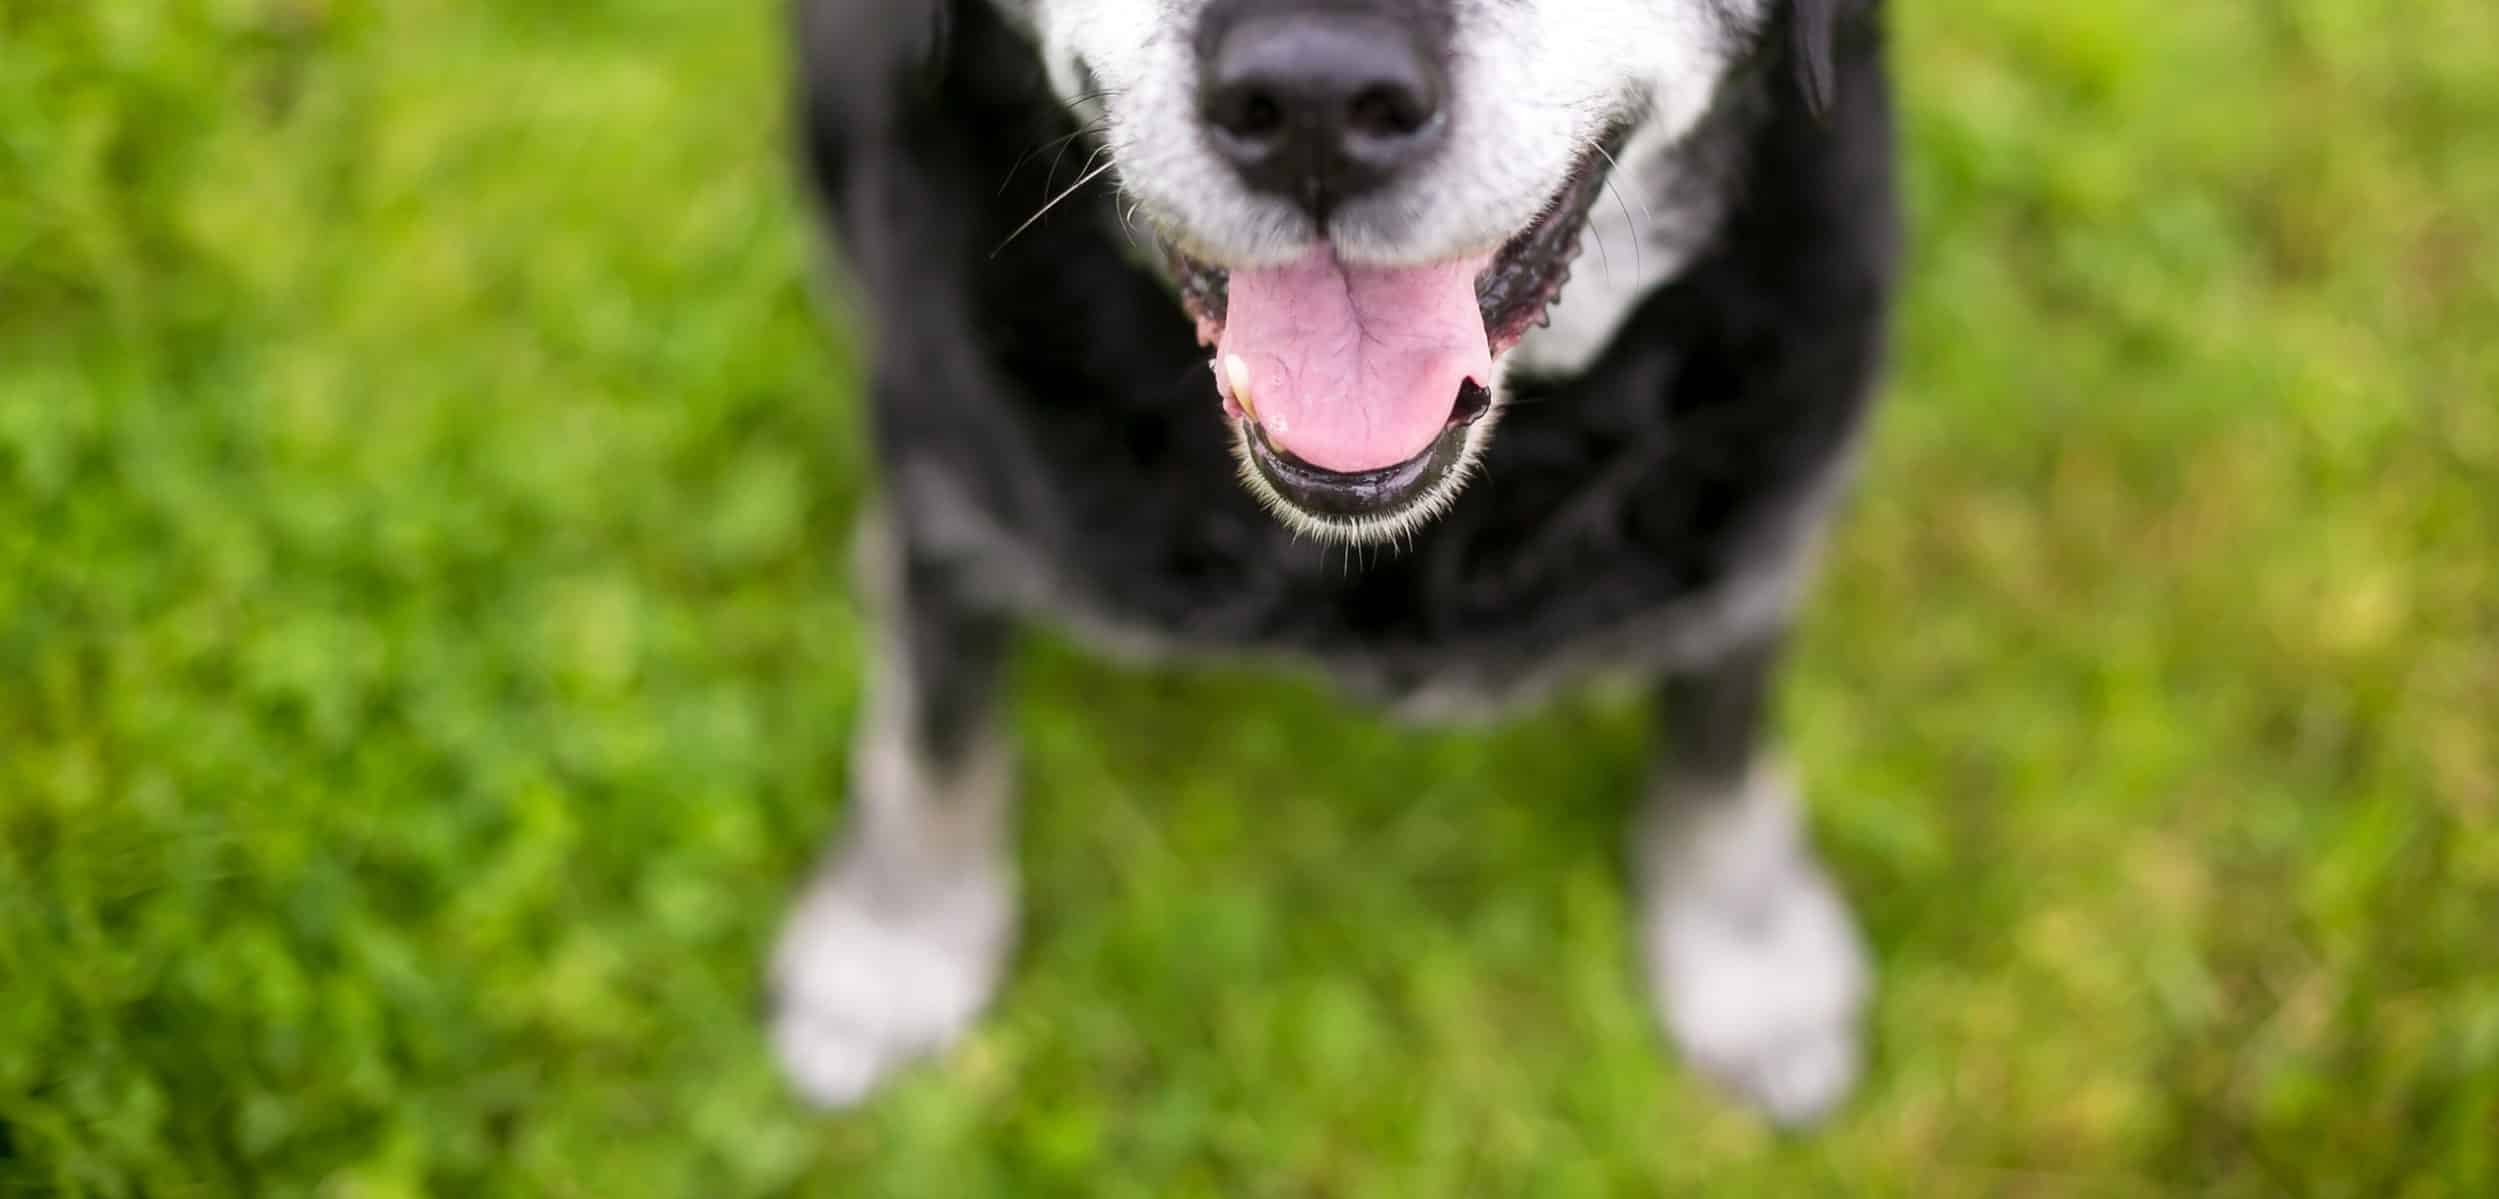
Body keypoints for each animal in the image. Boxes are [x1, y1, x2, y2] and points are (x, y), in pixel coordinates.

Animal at [774, 0, 1889, 1124]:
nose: (1317, 102)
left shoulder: (1758, 532)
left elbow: (1720, 739)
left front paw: (1751, 968)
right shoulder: (949, 503)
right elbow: (937, 742)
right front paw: (889, 955)